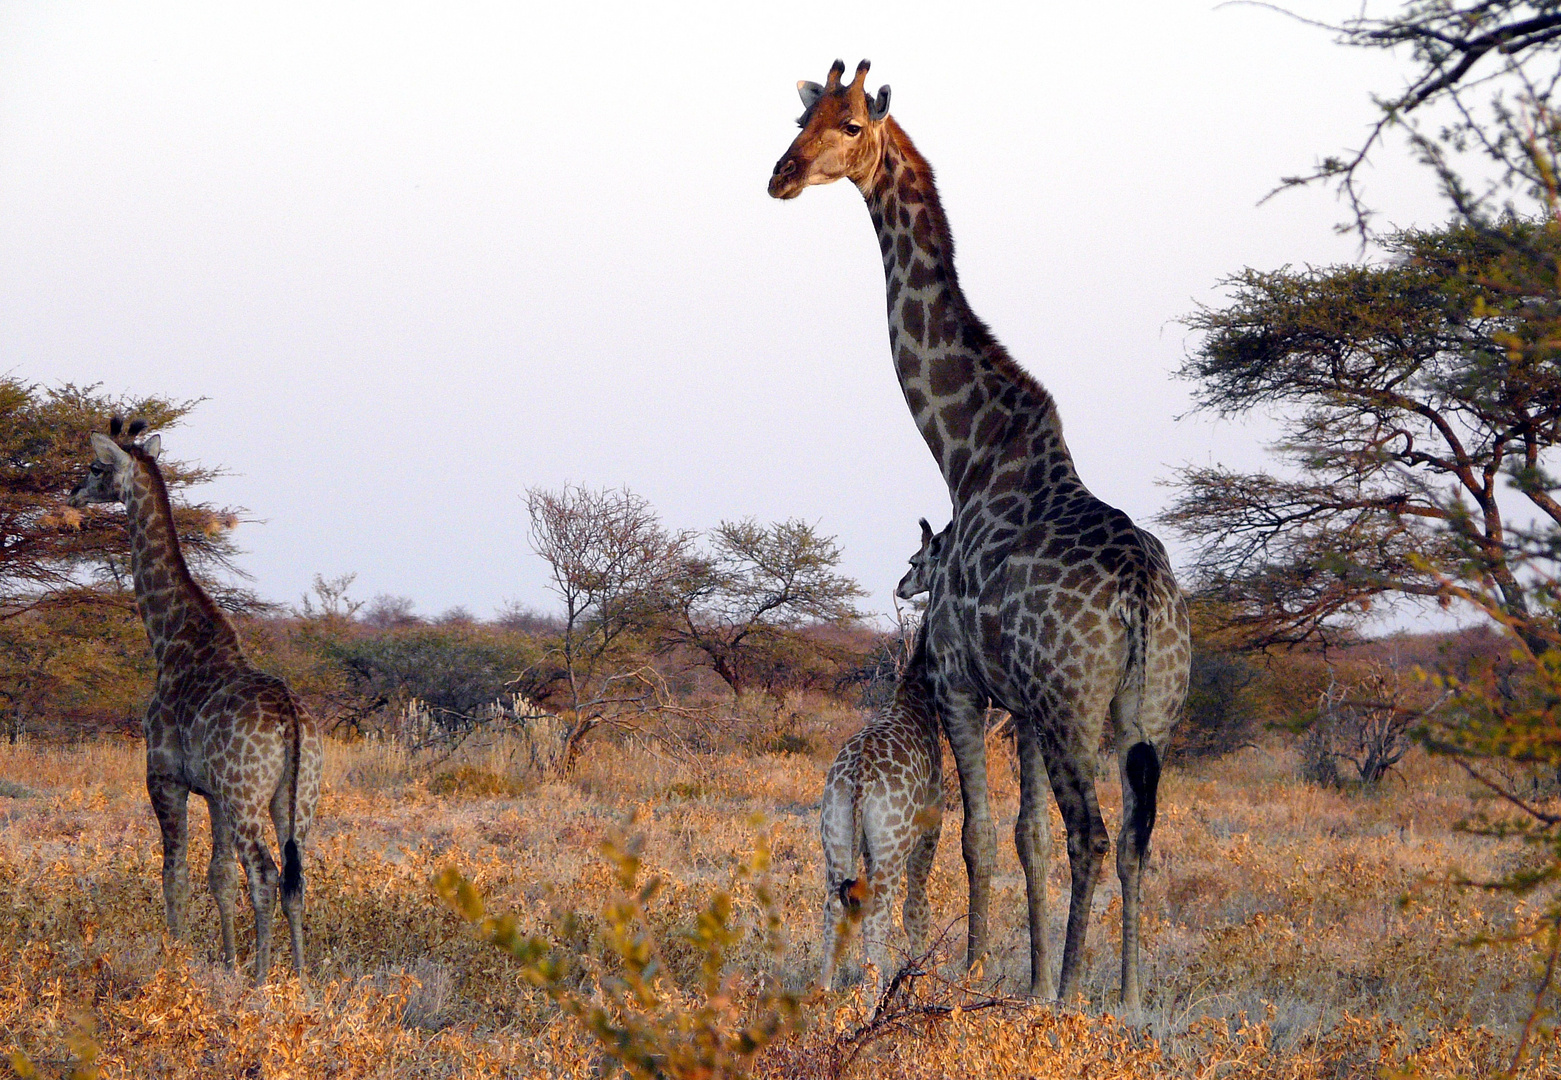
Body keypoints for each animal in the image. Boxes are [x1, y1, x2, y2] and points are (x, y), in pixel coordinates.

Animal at [70, 421, 320, 986]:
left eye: (96, 467)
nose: (72, 494)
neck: (170, 641)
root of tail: (291, 721)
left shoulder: (165, 778)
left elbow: (175, 872)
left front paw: (176, 959)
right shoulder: (213, 793)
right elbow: (219, 876)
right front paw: (227, 963)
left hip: (247, 794)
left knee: (266, 872)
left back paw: (263, 982)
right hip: (294, 798)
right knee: (294, 877)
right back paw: (301, 981)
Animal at [817, 521, 949, 986]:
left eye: (913, 561)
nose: (902, 586)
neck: (917, 696)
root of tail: (857, 781)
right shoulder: (931, 825)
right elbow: (918, 906)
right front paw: (917, 973)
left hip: (835, 833)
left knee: (834, 905)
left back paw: (822, 992)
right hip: (890, 844)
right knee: (880, 908)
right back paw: (877, 990)